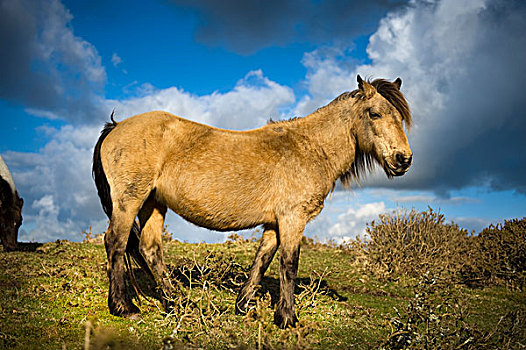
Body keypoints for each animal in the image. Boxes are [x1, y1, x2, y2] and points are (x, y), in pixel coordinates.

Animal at [93, 76, 414, 328]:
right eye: (374, 114)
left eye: (400, 118)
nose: (403, 159)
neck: (310, 148)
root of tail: (116, 126)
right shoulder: (292, 219)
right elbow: (289, 264)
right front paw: (287, 319)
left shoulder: (275, 223)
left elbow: (263, 260)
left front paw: (243, 305)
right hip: (130, 200)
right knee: (116, 243)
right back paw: (124, 307)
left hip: (153, 203)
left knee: (149, 249)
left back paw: (177, 302)